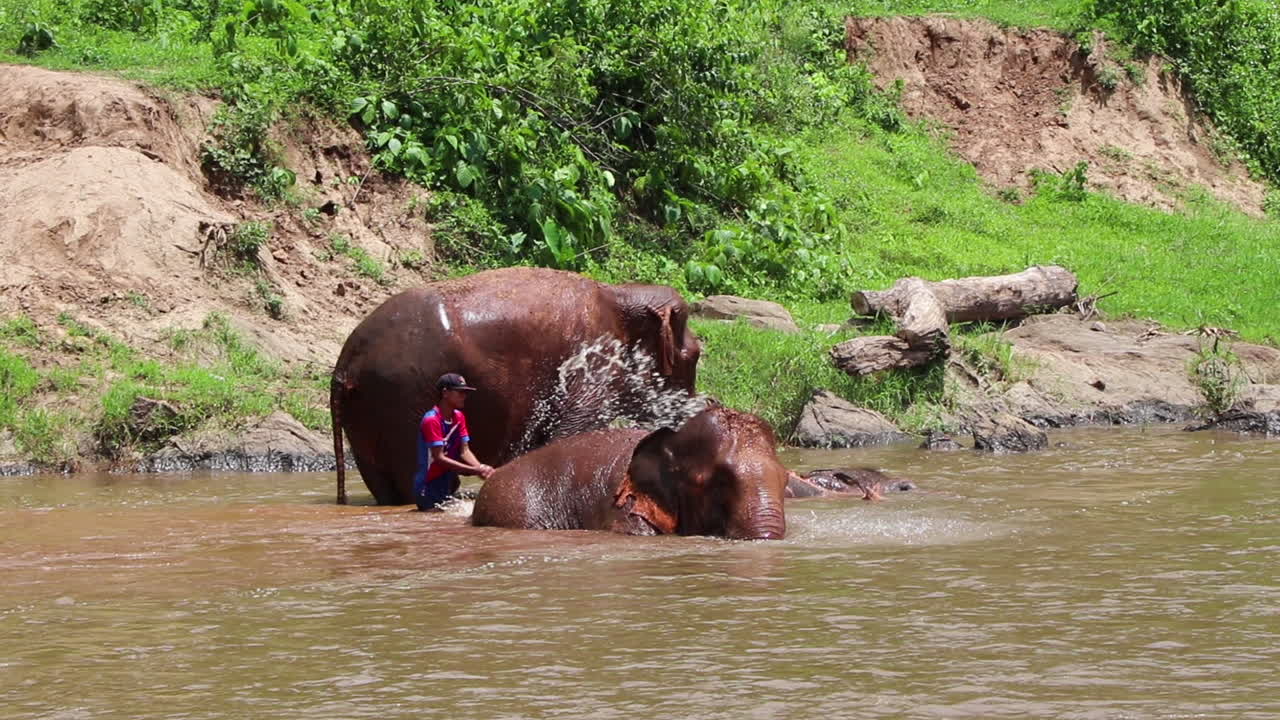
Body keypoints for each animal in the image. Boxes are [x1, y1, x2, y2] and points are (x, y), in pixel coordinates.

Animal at [331, 267, 701, 505]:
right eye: (696, 356)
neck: (621, 295)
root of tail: (345, 364)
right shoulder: (593, 365)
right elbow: (569, 433)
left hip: (368, 411)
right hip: (403, 400)